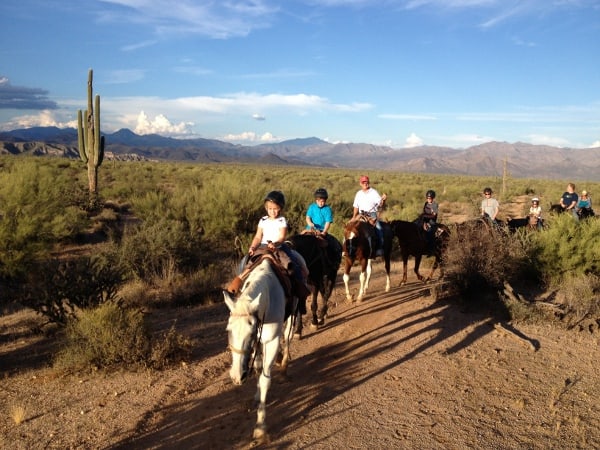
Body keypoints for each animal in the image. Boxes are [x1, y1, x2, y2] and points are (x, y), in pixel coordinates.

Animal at [223, 258, 296, 442]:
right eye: (228, 330)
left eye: (250, 331)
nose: (237, 376)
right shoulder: (258, 341)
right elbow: (256, 368)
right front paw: (256, 395)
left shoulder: (271, 341)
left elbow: (264, 379)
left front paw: (261, 427)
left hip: (293, 313)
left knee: (288, 335)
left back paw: (284, 366)